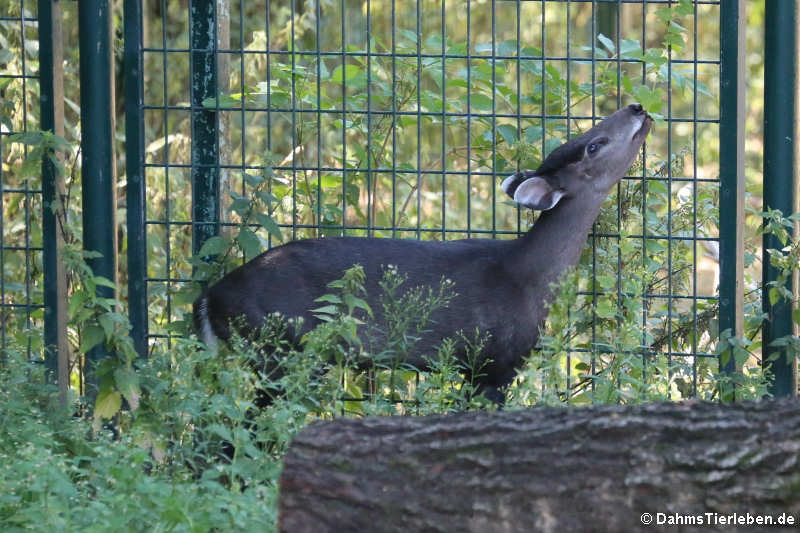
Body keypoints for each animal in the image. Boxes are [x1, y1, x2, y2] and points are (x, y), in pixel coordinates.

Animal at [194, 104, 648, 404]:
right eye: (594, 145)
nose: (638, 107)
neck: (530, 279)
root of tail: (210, 300)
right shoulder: (493, 362)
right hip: (281, 349)